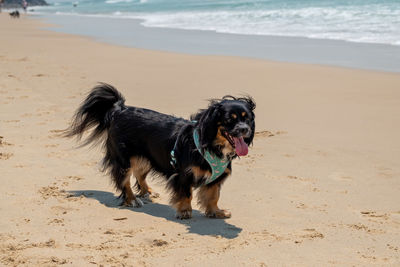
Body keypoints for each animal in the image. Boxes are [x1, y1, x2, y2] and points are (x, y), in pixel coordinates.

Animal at [64, 84, 255, 220]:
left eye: (247, 119)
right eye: (229, 120)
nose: (245, 130)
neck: (212, 145)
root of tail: (119, 110)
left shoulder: (215, 179)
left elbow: (213, 196)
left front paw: (216, 212)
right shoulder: (183, 174)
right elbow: (187, 193)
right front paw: (185, 211)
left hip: (145, 157)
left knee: (139, 175)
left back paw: (148, 191)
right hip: (124, 159)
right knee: (124, 181)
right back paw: (132, 200)